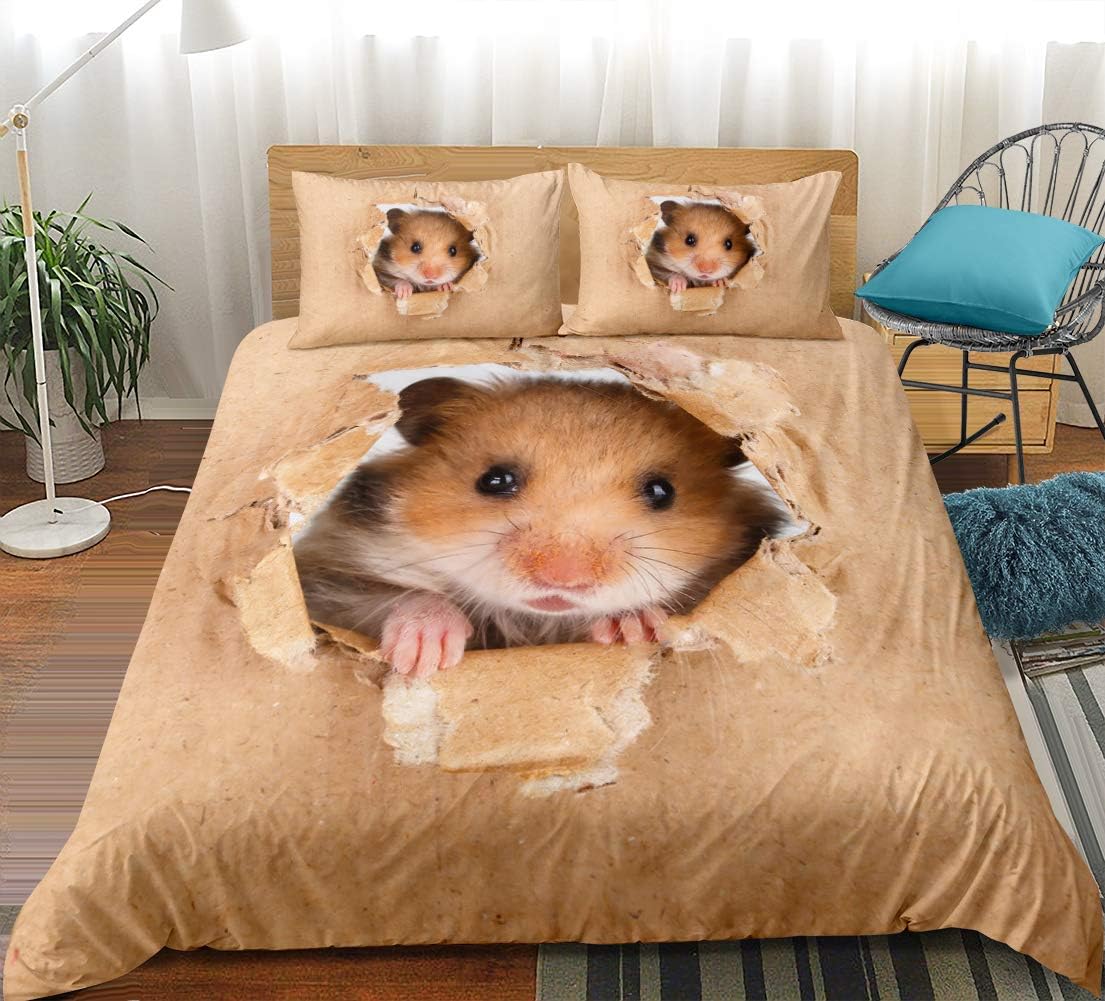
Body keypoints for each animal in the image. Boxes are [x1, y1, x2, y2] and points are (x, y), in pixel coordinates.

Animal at [293, 376, 786, 678]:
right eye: (494, 480)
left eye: (662, 492)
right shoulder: (325, 579)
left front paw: (631, 627)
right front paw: (425, 656)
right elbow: (406, 596)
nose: (562, 579)